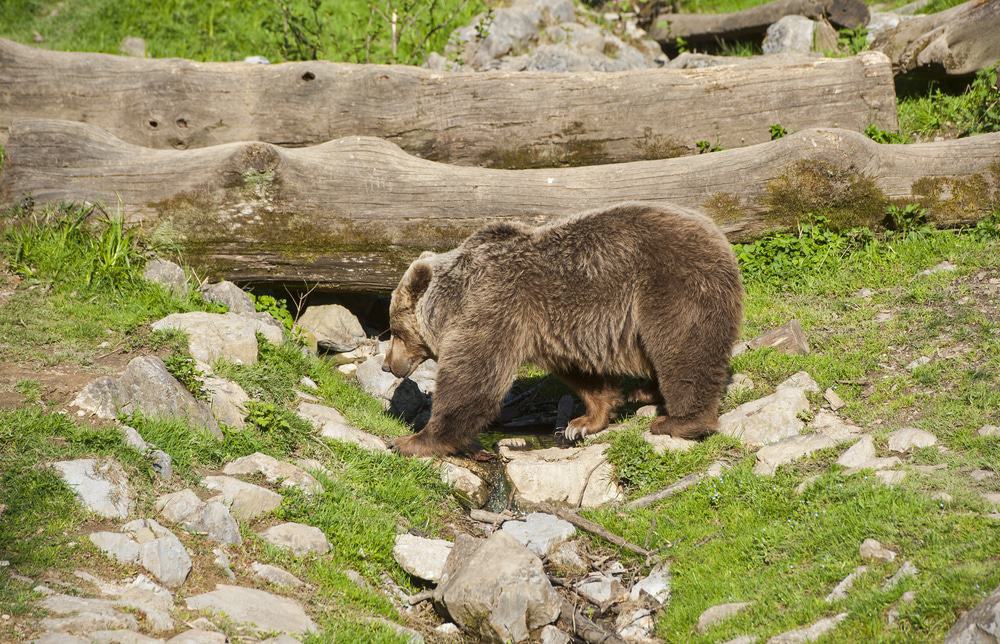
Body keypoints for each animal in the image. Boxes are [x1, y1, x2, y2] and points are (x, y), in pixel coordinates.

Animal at [384, 202, 743, 457]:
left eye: (395, 331)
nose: (388, 365)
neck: (454, 300)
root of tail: (717, 233)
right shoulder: (550, 327)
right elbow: (582, 373)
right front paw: (583, 422)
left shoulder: (494, 303)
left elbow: (473, 376)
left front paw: (412, 440)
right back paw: (644, 392)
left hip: (672, 284)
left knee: (683, 349)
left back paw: (678, 421)